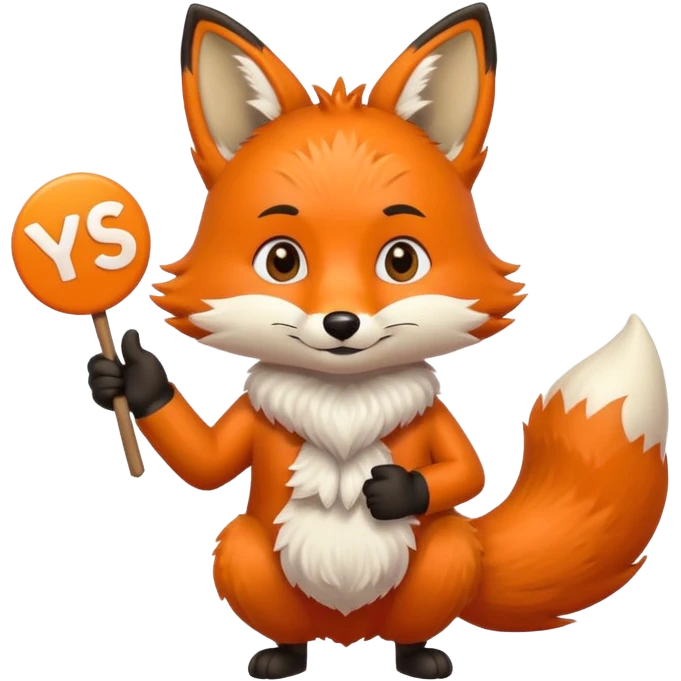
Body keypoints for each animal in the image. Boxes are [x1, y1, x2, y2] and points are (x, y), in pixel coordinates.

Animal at [87, 3, 670, 680]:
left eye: (401, 261)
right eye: (281, 260)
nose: (342, 324)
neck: (343, 403)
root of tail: (350, 634)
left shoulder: (437, 426)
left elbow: (466, 473)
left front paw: (396, 490)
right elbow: (205, 463)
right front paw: (129, 379)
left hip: (448, 553)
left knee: (430, 582)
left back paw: (420, 658)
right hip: (242, 552)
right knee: (268, 593)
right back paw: (281, 657)